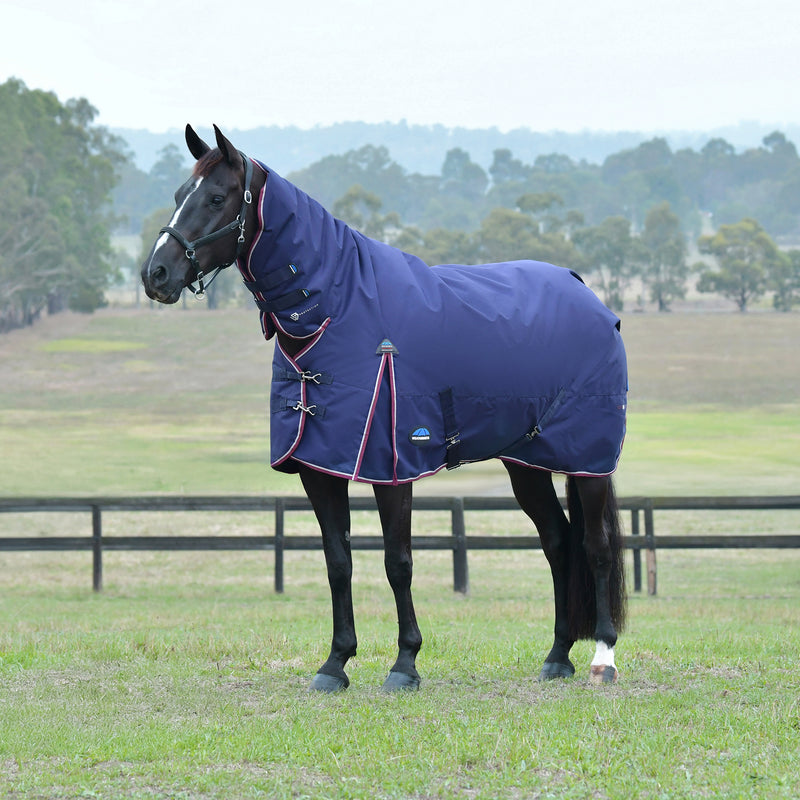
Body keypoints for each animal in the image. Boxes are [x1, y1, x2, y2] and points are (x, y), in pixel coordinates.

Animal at [141, 124, 628, 692]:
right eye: (180, 194)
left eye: (217, 198)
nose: (156, 273)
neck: (338, 310)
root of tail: (584, 292)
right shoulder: (319, 467)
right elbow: (338, 561)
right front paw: (335, 664)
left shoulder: (391, 466)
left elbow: (398, 562)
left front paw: (405, 663)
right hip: (525, 463)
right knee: (558, 542)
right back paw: (557, 656)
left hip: (588, 462)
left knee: (595, 546)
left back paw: (602, 658)